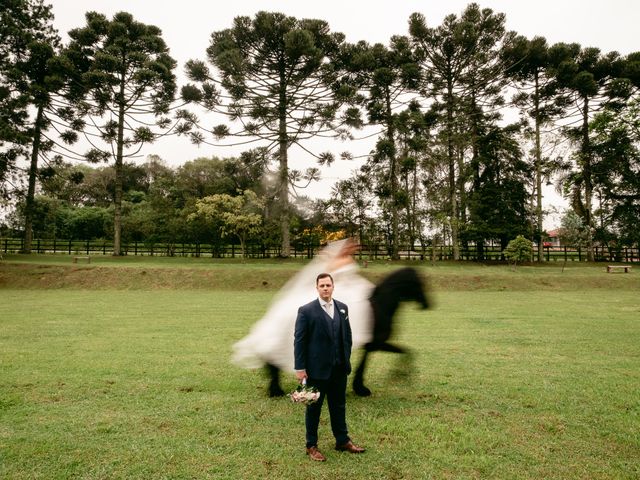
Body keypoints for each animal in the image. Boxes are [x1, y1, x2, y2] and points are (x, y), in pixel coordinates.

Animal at [266, 266, 430, 398]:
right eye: (417, 283)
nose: (427, 304)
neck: (381, 306)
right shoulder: (376, 343)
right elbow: (401, 353)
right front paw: (395, 376)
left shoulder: (372, 344)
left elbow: (401, 352)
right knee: (275, 361)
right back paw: (276, 390)